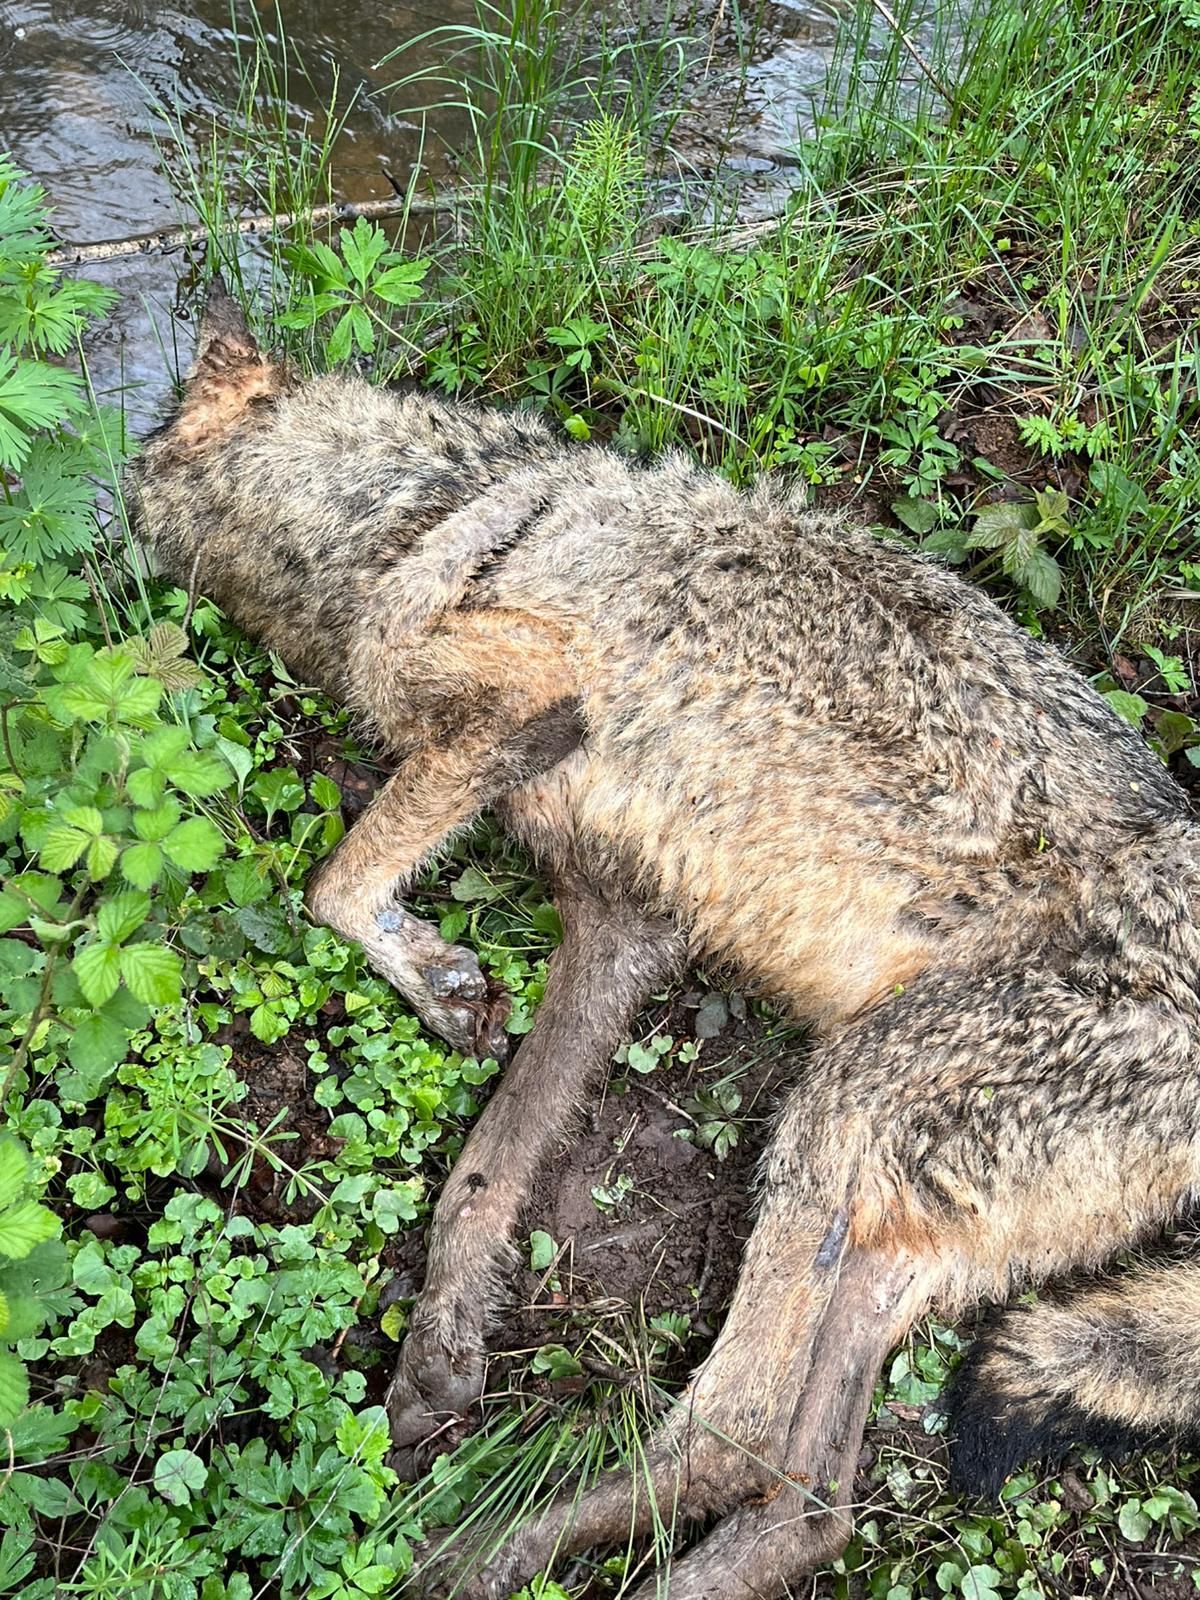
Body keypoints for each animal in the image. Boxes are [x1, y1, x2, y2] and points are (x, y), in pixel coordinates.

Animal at [127, 278, 1200, 1600]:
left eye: (145, 459)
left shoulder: (525, 702)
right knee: (804, 1499)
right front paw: (439, 1348)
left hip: (838, 1112)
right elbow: (481, 1174)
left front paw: (428, 970)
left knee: (730, 1434)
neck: (438, 509)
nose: (105, 523)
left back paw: (471, 1558)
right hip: (876, 1222)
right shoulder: (619, 927)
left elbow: (335, 884)